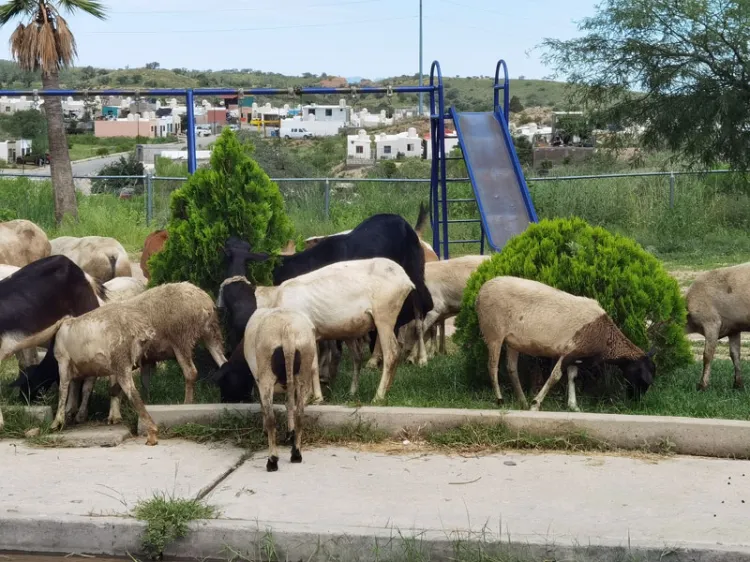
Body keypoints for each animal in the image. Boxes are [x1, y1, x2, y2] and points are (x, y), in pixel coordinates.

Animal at [245, 306, 318, 468]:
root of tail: (287, 330)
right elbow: (289, 404)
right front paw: (290, 433)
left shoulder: (258, 380)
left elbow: (265, 408)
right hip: (304, 369)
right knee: (299, 414)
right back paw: (296, 453)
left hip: (266, 373)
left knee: (271, 418)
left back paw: (272, 460)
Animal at [476, 276, 656, 412]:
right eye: (642, 378)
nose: (636, 401)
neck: (606, 338)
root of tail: (482, 290)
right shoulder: (568, 352)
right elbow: (555, 377)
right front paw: (536, 404)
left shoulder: (576, 354)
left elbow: (572, 377)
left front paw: (573, 406)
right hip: (493, 332)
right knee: (492, 367)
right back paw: (500, 400)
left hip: (512, 341)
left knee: (511, 369)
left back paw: (522, 401)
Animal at [692, 262, 750, 390]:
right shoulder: (734, 328)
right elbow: (735, 354)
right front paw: (738, 384)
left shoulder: (711, 323)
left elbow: (707, 355)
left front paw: (702, 385)